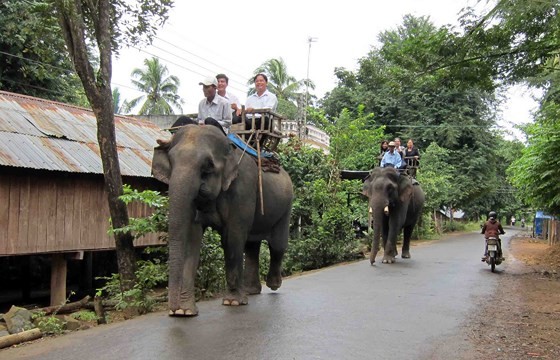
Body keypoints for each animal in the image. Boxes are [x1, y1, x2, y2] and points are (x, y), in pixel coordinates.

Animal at [153, 124, 294, 316]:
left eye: (207, 166)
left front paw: (233, 302)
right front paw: (185, 312)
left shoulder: (243, 189)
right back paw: (251, 291)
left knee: (277, 245)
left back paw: (272, 285)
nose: (172, 310)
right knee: (252, 246)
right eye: (171, 162)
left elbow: (233, 237)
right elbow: (191, 238)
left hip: (286, 206)